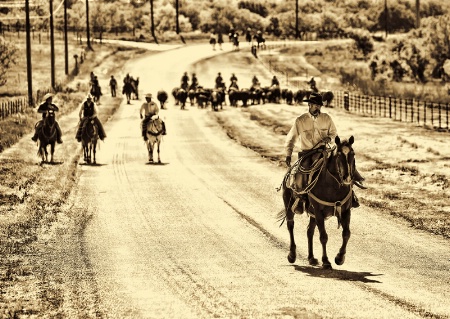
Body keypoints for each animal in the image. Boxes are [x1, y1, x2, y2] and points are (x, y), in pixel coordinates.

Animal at [276, 137, 356, 270]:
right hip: (289, 205)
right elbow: (323, 236)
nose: (347, 178)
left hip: (312, 213)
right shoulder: (319, 212)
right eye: (339, 155)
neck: (333, 186)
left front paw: (340, 258)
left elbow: (346, 234)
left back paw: (311, 258)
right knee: (290, 225)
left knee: (310, 231)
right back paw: (292, 254)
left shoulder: (345, 211)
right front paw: (326, 261)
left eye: (352, 154)